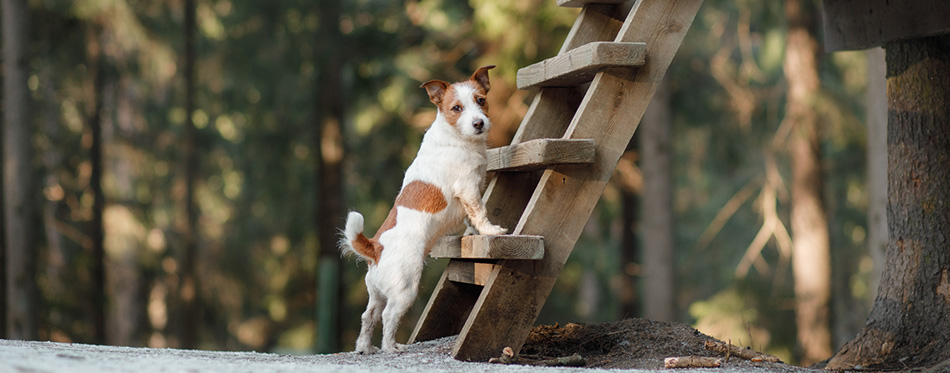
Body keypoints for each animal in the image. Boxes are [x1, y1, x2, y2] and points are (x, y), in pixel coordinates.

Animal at [340, 65, 506, 354]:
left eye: (481, 100)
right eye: (456, 108)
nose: (479, 123)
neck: (456, 138)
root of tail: (376, 247)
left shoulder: (469, 192)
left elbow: (470, 218)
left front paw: (474, 234)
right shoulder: (468, 188)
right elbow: (480, 212)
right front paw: (490, 231)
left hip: (376, 293)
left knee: (368, 315)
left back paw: (365, 347)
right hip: (405, 288)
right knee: (389, 316)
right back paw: (391, 347)